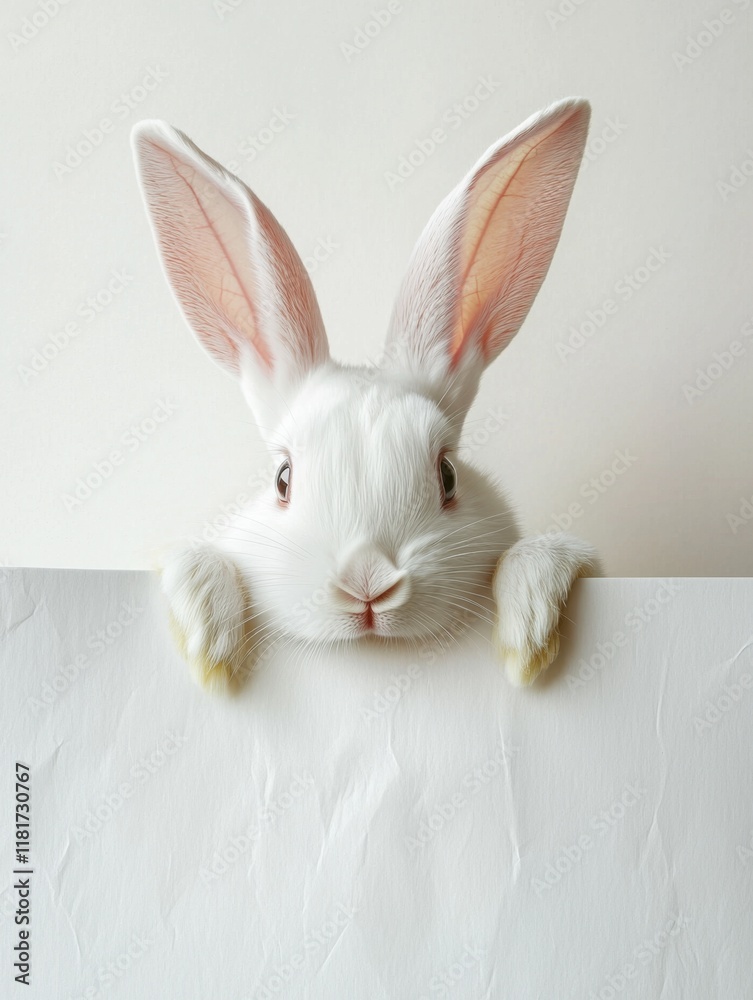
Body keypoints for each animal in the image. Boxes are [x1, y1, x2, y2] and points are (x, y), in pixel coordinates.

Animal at [131, 97, 596, 691]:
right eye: (282, 479)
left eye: (447, 475)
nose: (367, 582)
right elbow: (195, 560)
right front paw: (208, 637)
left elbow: (551, 555)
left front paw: (528, 626)